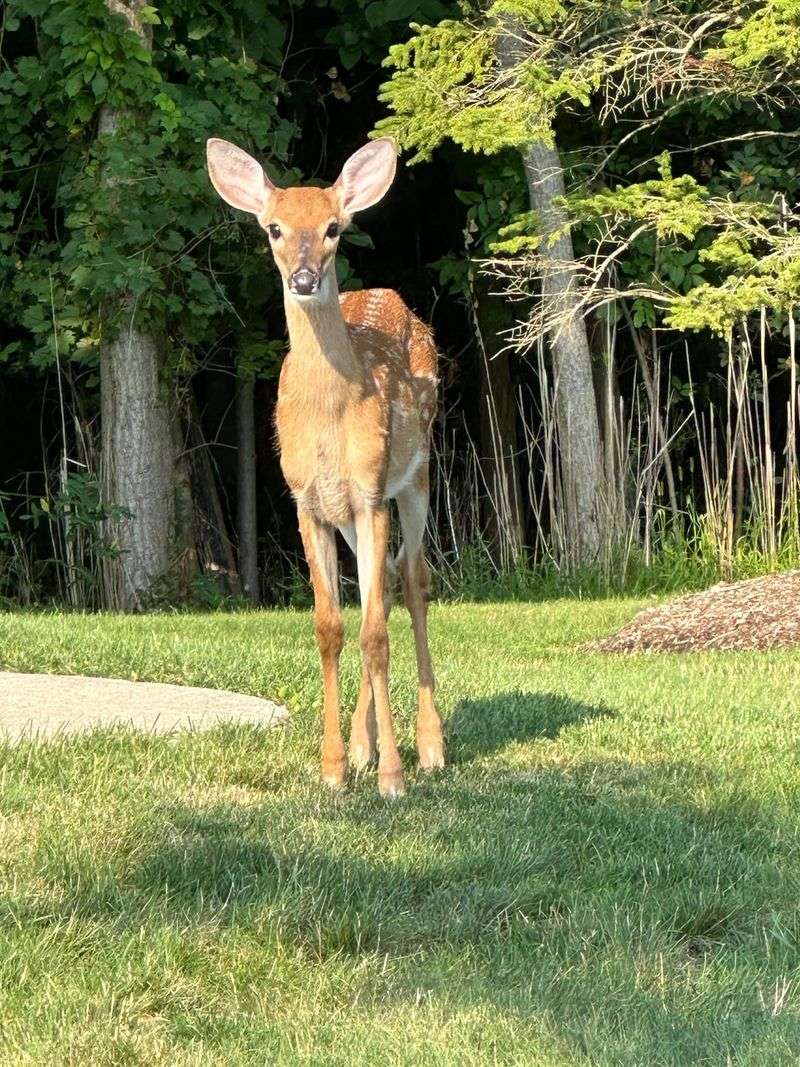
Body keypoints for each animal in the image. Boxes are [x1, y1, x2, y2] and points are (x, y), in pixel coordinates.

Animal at [206, 136, 445, 797]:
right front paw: (336, 766)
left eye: (335, 227)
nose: (306, 278)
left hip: (417, 474)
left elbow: (375, 634)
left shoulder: (370, 490)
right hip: (349, 514)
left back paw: (431, 746)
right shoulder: (306, 502)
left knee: (411, 581)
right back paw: (365, 746)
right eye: (274, 228)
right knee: (380, 587)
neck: (329, 416)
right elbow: (332, 628)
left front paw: (393, 775)